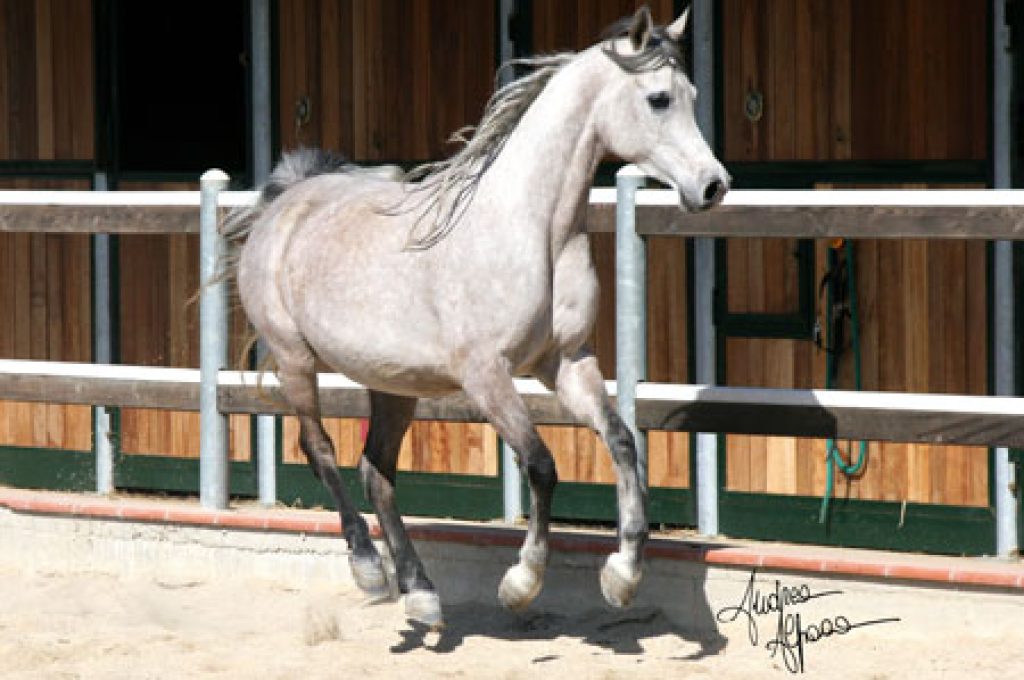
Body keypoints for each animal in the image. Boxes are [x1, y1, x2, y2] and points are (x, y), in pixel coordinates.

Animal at [226, 5, 728, 630]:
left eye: (694, 94)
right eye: (659, 99)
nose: (713, 185)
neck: (531, 227)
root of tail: (287, 201)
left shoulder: (566, 362)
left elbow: (622, 441)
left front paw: (623, 576)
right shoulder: (487, 374)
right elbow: (540, 464)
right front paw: (522, 582)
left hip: (393, 385)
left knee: (377, 472)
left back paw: (420, 593)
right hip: (296, 361)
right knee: (321, 451)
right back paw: (369, 569)